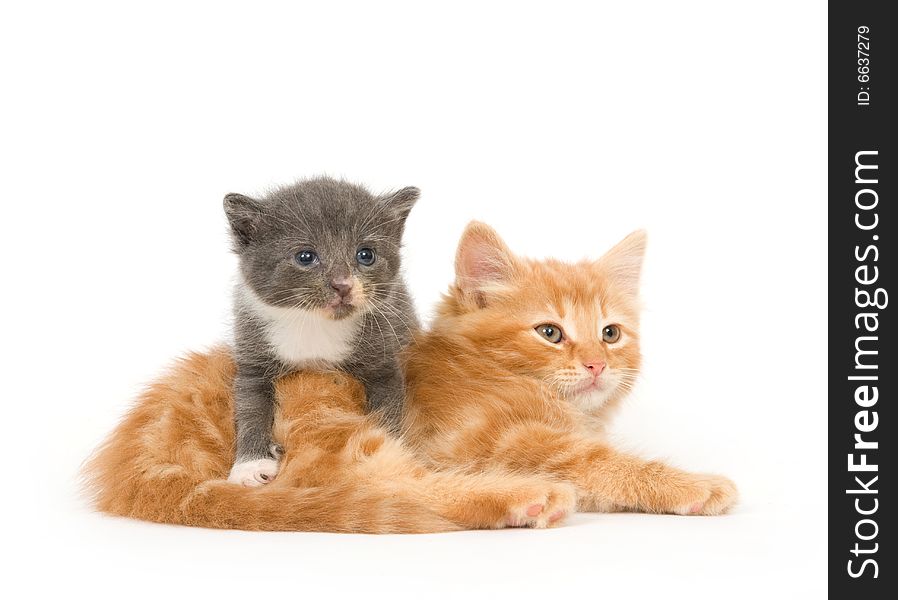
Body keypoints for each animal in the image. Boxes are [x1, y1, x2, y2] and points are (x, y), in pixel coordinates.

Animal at [224, 176, 420, 486]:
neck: (314, 324)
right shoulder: (252, 360)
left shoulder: (384, 361)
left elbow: (387, 411)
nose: (342, 285)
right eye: (306, 256)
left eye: (366, 254)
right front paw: (249, 466)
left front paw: (387, 456)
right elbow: (250, 410)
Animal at [402, 223, 740, 516]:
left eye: (610, 334)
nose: (597, 364)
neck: (480, 370)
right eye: (549, 332)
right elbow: (593, 459)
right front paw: (693, 484)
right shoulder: (472, 441)